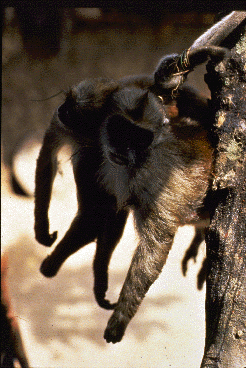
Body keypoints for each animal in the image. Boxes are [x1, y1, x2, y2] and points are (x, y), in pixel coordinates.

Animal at [33, 11, 245, 342]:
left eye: (137, 138)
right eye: (119, 130)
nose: (123, 149)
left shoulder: (150, 179)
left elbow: (154, 245)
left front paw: (120, 318)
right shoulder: (99, 164)